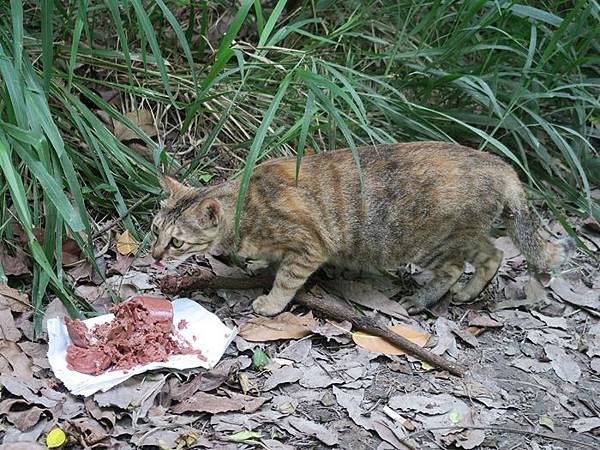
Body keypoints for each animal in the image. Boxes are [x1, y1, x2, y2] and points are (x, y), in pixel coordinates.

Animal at [148, 142, 576, 314]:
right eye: (154, 230)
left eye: (176, 243)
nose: (152, 256)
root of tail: (503, 166)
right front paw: (258, 265)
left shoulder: (310, 246)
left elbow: (287, 280)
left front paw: (270, 302)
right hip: (465, 235)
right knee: (493, 253)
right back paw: (470, 292)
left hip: (433, 243)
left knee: (457, 267)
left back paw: (423, 299)